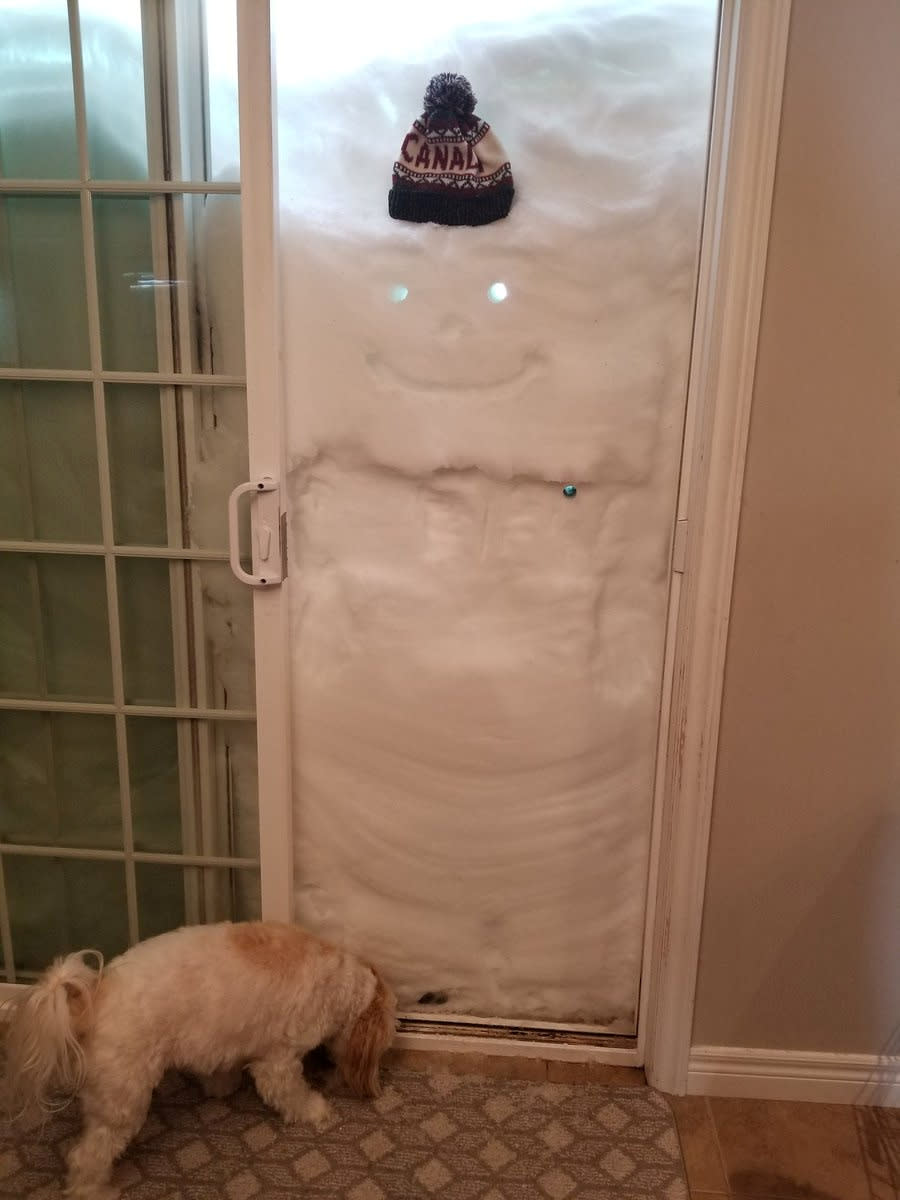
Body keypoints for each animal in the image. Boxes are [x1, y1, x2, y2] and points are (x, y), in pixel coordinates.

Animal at [2, 921, 398, 1195]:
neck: (339, 980)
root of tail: (94, 998)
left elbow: (222, 1068)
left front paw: (222, 1085)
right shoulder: (278, 1062)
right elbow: (290, 1093)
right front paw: (315, 1109)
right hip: (123, 1101)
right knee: (86, 1156)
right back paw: (94, 1190)